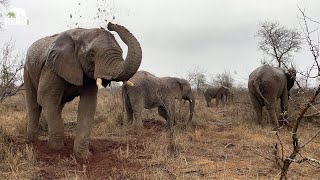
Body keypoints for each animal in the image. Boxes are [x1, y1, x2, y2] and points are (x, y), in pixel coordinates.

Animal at [25, 22, 143, 162]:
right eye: (91, 54)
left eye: (122, 52)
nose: (109, 24)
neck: (81, 33)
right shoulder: (51, 67)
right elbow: (46, 98)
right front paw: (56, 150)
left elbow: (88, 105)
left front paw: (84, 157)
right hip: (27, 69)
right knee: (35, 105)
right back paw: (31, 141)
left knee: (57, 106)